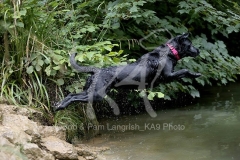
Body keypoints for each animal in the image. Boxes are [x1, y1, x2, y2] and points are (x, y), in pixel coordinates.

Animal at [54, 33, 201, 111]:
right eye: (190, 44)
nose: (198, 50)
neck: (170, 51)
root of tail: (96, 70)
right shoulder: (168, 75)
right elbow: (185, 70)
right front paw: (196, 74)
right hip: (97, 94)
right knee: (74, 97)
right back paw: (61, 106)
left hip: (90, 90)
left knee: (71, 94)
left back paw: (58, 105)